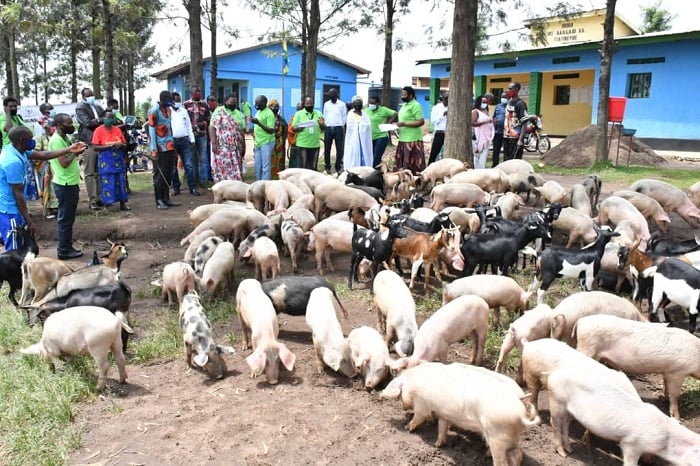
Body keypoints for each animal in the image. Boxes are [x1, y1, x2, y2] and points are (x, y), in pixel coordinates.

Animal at [380, 364, 540, 466]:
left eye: (400, 394)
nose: (403, 407)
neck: (412, 382)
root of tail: (520, 414)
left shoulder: (422, 404)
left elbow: (418, 417)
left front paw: (408, 428)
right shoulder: (444, 413)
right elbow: (442, 428)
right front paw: (438, 445)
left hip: (498, 438)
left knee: (503, 461)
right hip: (511, 438)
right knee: (517, 455)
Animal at [548, 368, 700, 462]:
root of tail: (553, 374)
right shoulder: (631, 444)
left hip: (569, 411)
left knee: (565, 425)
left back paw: (570, 450)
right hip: (557, 402)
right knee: (555, 424)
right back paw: (563, 454)